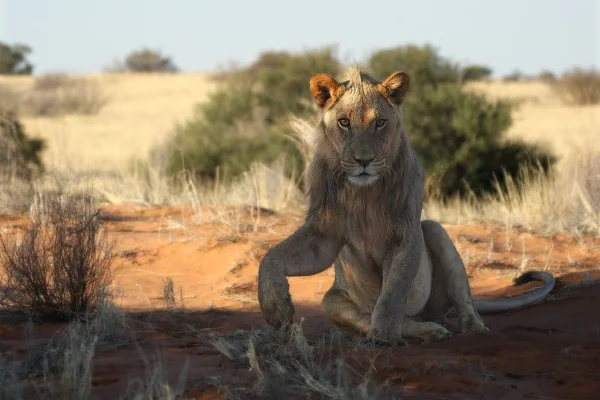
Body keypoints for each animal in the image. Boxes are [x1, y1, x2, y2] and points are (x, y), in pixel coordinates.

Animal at [255, 66, 556, 344]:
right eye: (343, 122)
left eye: (379, 122)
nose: (363, 160)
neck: (364, 193)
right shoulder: (324, 233)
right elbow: (270, 258)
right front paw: (277, 310)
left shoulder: (406, 234)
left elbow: (393, 293)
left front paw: (385, 335)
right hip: (331, 300)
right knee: (383, 318)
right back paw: (429, 330)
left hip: (434, 232)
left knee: (460, 302)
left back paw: (469, 330)